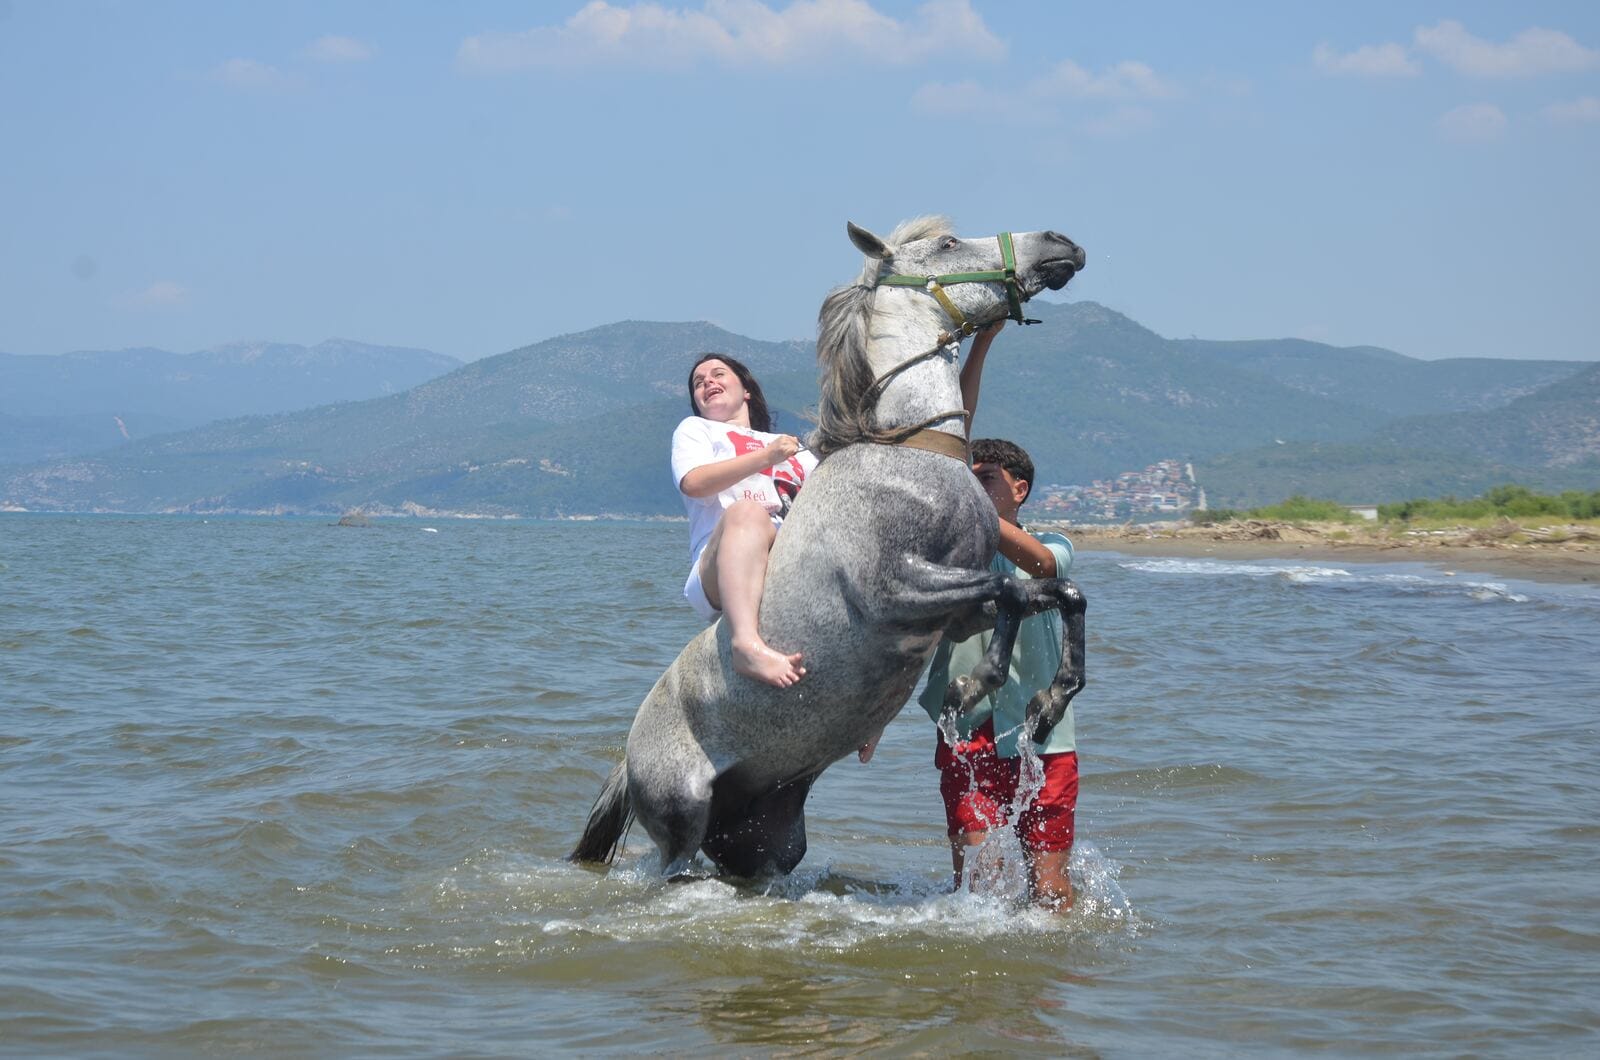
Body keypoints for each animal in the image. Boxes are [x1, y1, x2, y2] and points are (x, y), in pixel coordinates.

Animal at [571, 217, 1087, 878]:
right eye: (947, 245)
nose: (1061, 244)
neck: (907, 454)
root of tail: (627, 757)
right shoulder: (897, 589)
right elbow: (1014, 592)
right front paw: (971, 688)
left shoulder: (958, 610)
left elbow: (1059, 592)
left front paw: (1048, 703)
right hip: (679, 825)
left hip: (767, 842)